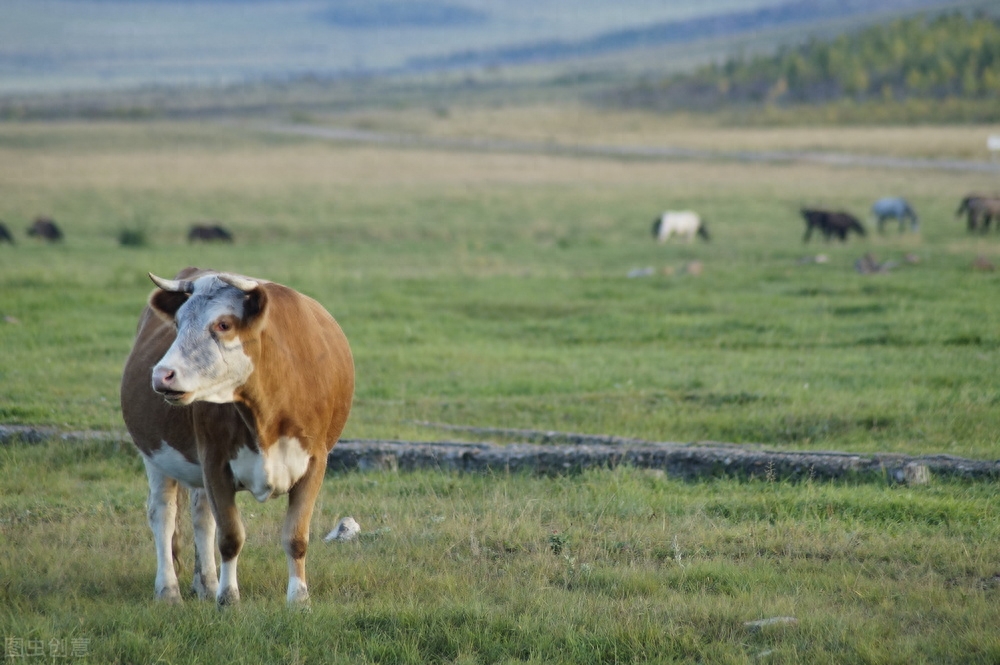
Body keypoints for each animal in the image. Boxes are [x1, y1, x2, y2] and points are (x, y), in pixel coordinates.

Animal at [119, 268, 354, 604]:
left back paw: (206, 584)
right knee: (163, 514)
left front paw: (299, 600)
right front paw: (228, 599)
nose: (162, 374)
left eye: (223, 324)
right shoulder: (215, 462)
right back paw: (169, 591)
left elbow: (295, 537)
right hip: (154, 454)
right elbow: (230, 536)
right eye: (178, 323)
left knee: (201, 516)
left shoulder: (315, 462)